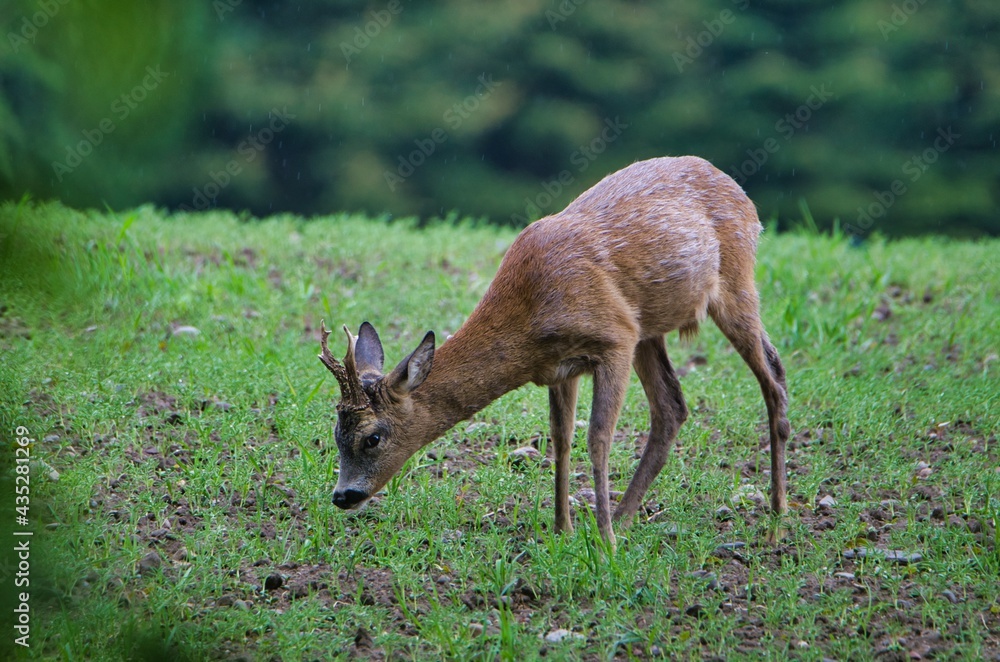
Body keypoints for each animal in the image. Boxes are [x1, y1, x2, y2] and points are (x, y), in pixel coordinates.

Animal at [318, 155, 790, 549]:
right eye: (336, 432)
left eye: (373, 437)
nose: (343, 495)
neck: (529, 316)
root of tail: (741, 193)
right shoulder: (560, 368)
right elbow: (560, 440)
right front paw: (563, 530)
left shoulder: (615, 339)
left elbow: (597, 436)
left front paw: (603, 541)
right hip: (650, 329)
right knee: (673, 406)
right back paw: (626, 516)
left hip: (733, 283)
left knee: (774, 377)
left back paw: (776, 515)